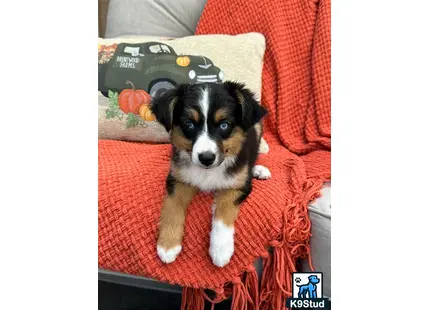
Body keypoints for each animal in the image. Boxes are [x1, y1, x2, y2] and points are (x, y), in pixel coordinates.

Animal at [151, 80, 270, 266]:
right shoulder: (177, 179)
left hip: (257, 127)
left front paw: (221, 249)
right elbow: (173, 206)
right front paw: (168, 245)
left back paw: (259, 170)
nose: (206, 158)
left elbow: (224, 209)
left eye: (224, 125)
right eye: (189, 124)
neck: (207, 172)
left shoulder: (237, 186)